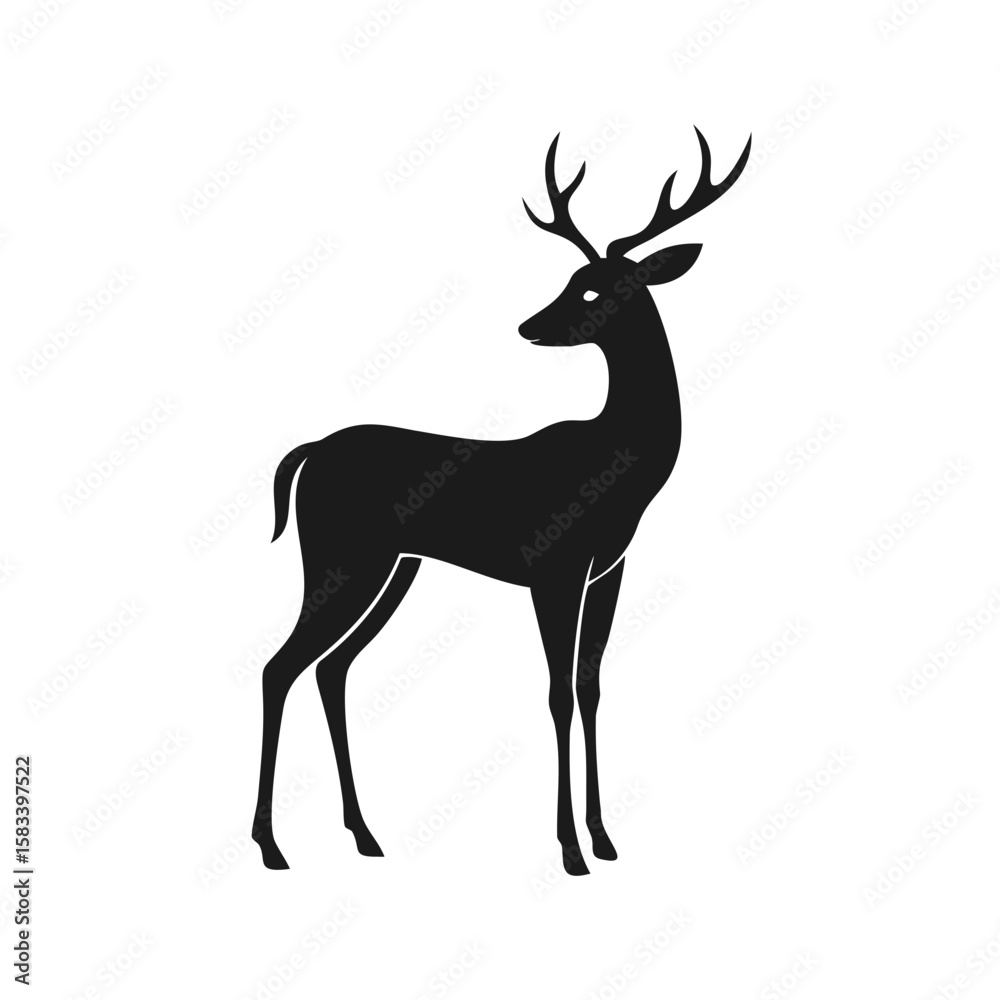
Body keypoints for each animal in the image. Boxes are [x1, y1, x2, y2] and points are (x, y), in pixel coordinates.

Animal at [251, 128, 751, 876]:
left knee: (331, 668)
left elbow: (590, 687)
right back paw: (271, 845)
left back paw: (365, 835)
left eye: (592, 286)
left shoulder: (608, 569)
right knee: (279, 666)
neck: (619, 468)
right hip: (342, 554)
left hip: (396, 566)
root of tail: (308, 453)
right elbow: (556, 694)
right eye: (569, 280)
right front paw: (569, 848)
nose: (528, 326)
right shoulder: (554, 565)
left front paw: (604, 838)